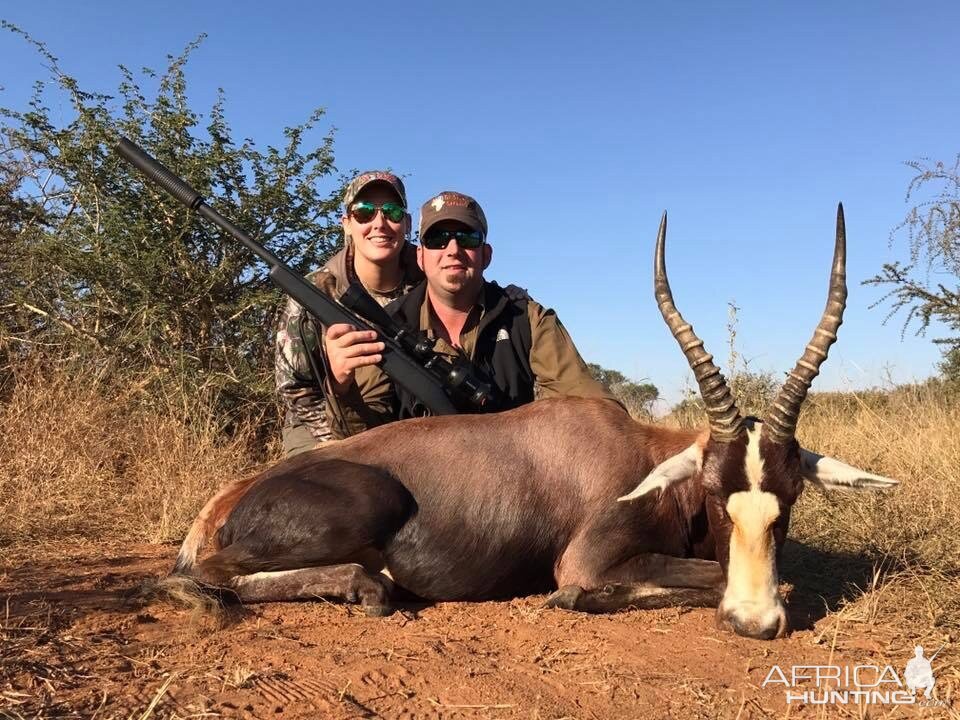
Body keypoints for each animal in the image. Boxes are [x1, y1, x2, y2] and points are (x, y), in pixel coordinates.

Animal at [169, 204, 896, 640]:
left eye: (791, 497)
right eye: (717, 494)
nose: (755, 622)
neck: (637, 456)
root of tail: (226, 499)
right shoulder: (585, 560)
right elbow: (688, 578)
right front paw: (569, 602)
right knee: (210, 575)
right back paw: (367, 587)